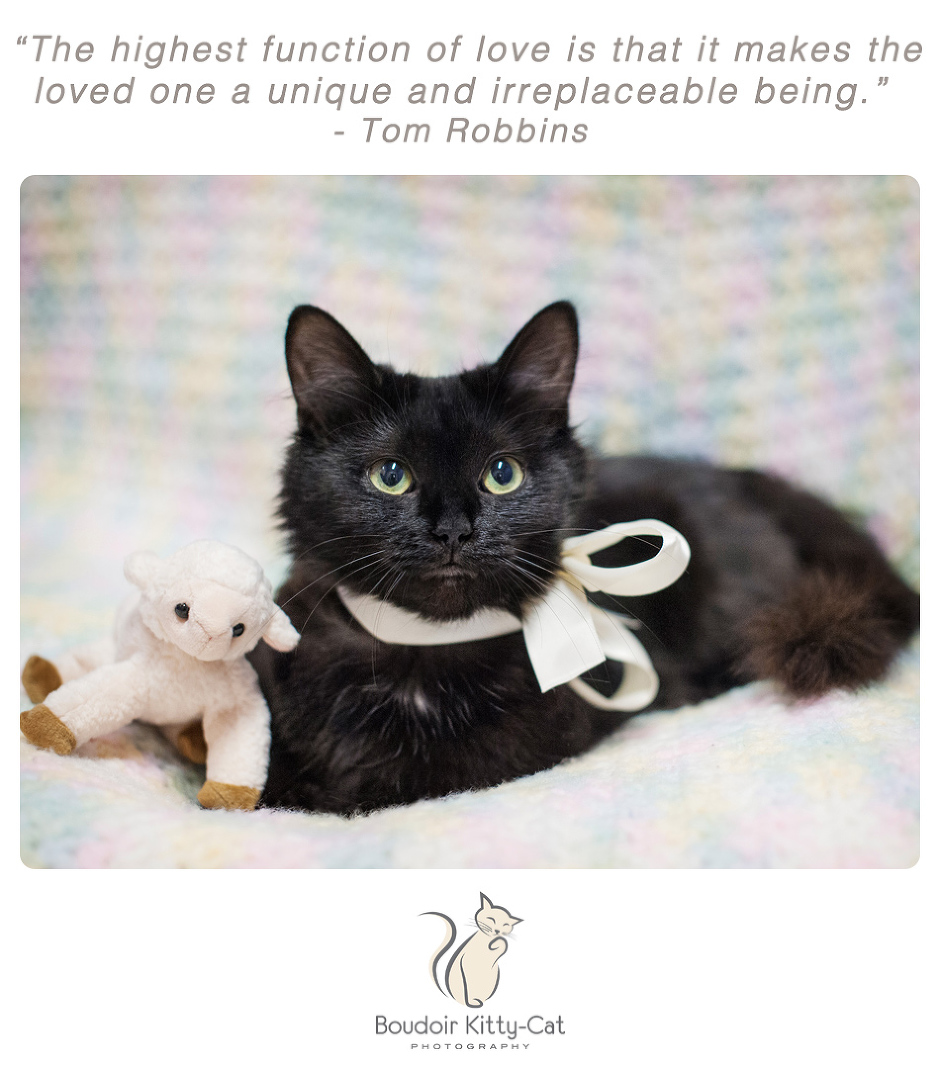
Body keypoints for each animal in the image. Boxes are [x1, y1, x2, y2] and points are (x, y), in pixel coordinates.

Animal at [251, 305, 919, 812]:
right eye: (390, 476)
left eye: (502, 474)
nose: (453, 532)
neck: (423, 651)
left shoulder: (538, 735)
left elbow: (405, 778)